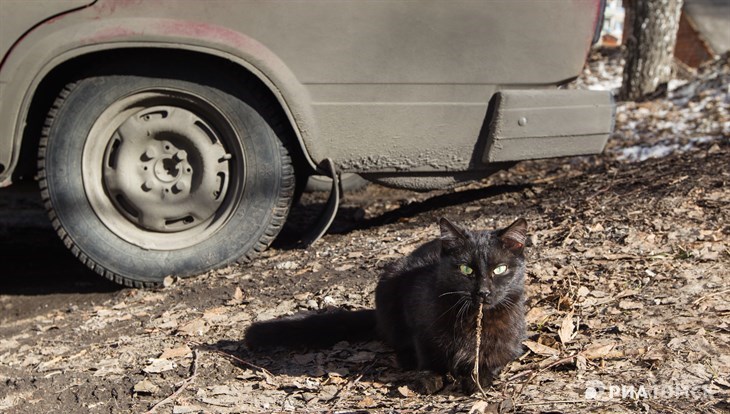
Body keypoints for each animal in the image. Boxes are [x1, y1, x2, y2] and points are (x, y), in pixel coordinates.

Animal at [245, 218, 524, 392]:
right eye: (466, 270)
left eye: (500, 269)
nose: (484, 292)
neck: (472, 319)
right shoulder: (421, 324)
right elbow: (429, 355)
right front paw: (429, 378)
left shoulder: (511, 339)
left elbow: (494, 358)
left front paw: (478, 377)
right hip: (389, 283)